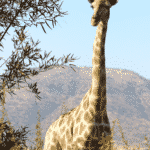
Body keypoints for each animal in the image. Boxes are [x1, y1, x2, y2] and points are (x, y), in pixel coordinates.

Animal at [43, 0, 118, 149]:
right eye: (92, 6)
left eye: (106, 5)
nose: (94, 19)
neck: (98, 105)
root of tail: (48, 132)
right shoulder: (80, 144)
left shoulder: (106, 145)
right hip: (51, 146)